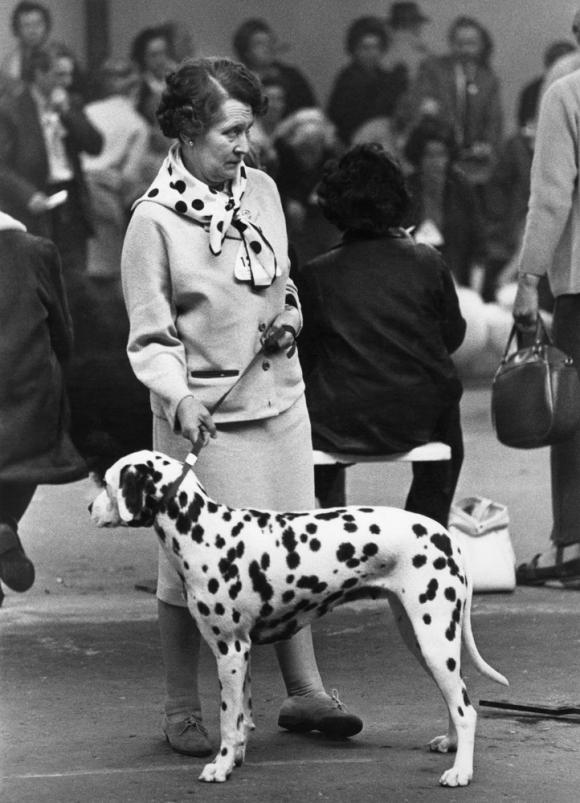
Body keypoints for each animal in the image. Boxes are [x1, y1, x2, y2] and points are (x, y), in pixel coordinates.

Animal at [90, 450, 508, 788]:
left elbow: (228, 719)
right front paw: (236, 759)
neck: (204, 532)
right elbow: (242, 717)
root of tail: (445, 535)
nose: (90, 508)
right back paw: (451, 746)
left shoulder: (229, 649)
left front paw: (220, 767)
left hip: (434, 639)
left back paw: (461, 772)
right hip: (423, 639)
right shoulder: (242, 652)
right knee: (457, 697)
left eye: (107, 482)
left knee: (467, 710)